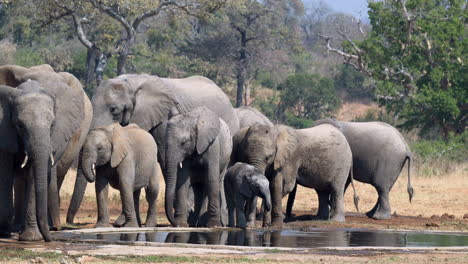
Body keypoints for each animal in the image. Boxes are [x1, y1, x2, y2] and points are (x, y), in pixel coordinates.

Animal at [0, 64, 92, 241]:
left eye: (52, 125)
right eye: (19, 125)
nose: (50, 238)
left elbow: (32, 174)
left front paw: (30, 238)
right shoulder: (4, 127)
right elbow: (5, 170)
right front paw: (5, 232)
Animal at [66, 73, 241, 225]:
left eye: (114, 109)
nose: (71, 222)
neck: (133, 82)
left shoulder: (162, 120)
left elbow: (164, 160)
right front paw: (123, 223)